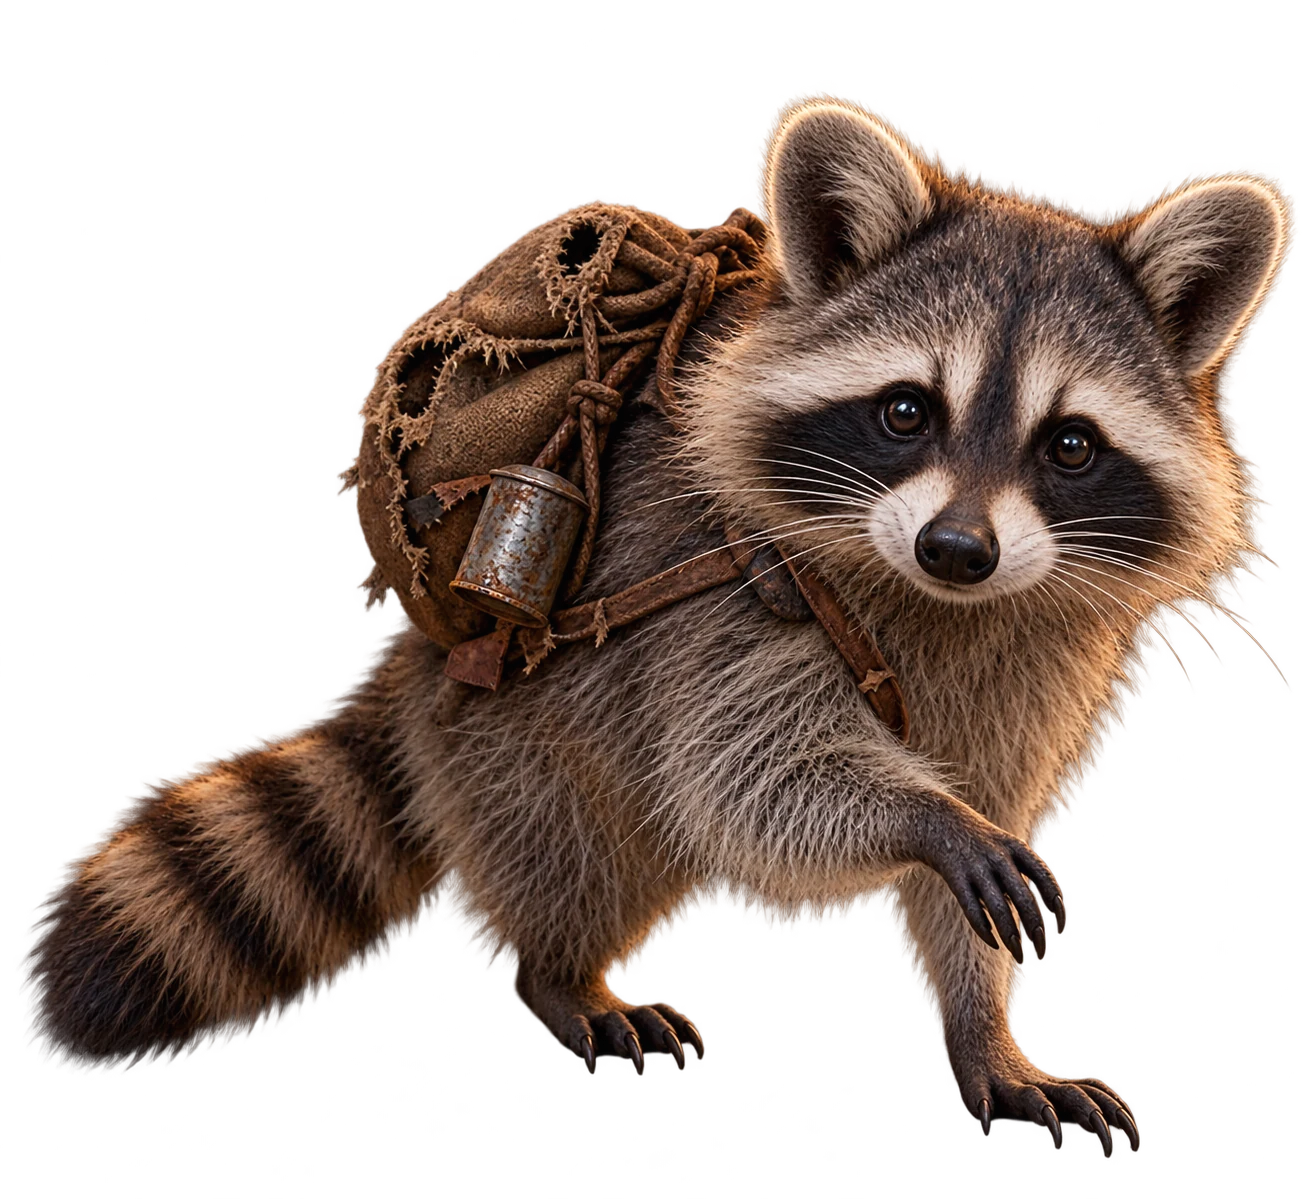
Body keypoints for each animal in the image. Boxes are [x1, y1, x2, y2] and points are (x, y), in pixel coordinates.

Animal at [21, 92, 1296, 1155]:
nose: (956, 548)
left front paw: (985, 1026)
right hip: (527, 727)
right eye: (903, 412)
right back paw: (561, 972)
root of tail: (418, 655)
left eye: (1069, 444)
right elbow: (750, 780)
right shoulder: (729, 598)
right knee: (565, 843)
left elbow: (965, 836)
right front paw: (928, 819)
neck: (943, 605)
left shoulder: (1022, 663)